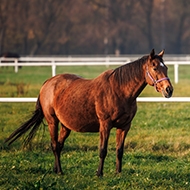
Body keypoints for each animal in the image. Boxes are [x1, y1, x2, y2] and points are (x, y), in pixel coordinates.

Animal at [4, 49, 174, 177]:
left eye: (165, 68)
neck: (119, 90)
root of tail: (48, 82)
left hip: (65, 126)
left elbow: (119, 150)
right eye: (155, 68)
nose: (169, 90)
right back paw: (59, 171)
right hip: (53, 121)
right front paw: (99, 173)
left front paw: (118, 173)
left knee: (59, 145)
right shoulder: (105, 125)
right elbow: (103, 150)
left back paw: (56, 169)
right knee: (54, 145)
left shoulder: (125, 126)